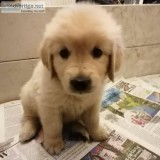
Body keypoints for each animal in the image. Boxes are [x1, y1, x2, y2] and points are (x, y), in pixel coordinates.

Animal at [19, 4, 123, 154]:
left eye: (97, 52)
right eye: (63, 53)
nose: (80, 82)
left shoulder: (93, 103)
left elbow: (93, 120)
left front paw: (97, 133)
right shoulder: (48, 105)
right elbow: (53, 126)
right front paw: (53, 144)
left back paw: (80, 130)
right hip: (27, 97)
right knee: (30, 117)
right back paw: (27, 131)